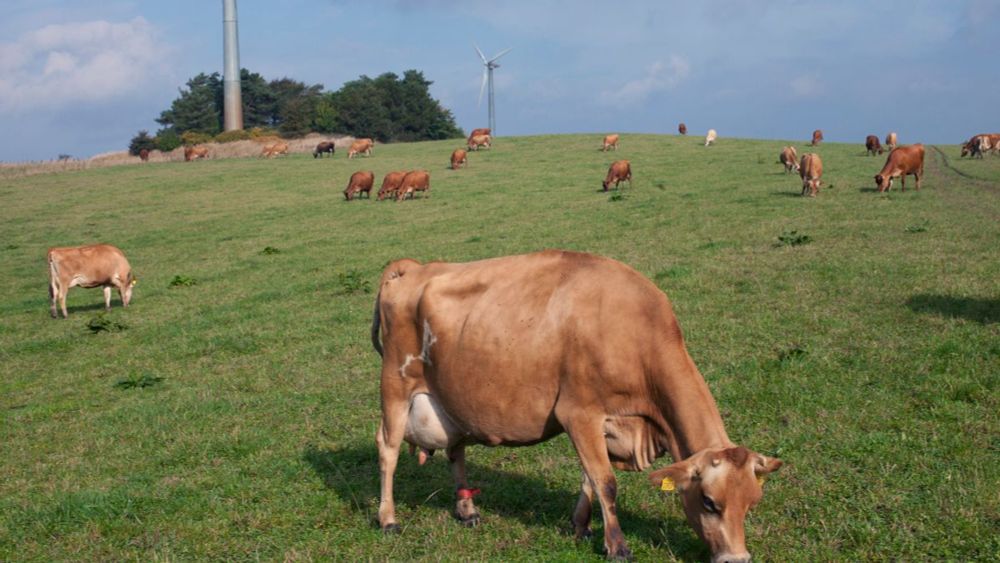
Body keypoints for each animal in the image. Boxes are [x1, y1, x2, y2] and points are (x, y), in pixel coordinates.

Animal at [372, 252, 784, 563]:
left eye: (752, 503)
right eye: (710, 502)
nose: (737, 560)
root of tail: (412, 267)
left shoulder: (604, 424)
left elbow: (589, 477)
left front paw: (581, 526)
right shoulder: (578, 413)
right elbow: (606, 482)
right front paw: (617, 546)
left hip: (450, 400)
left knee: (456, 451)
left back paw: (467, 511)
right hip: (395, 385)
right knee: (388, 449)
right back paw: (388, 518)